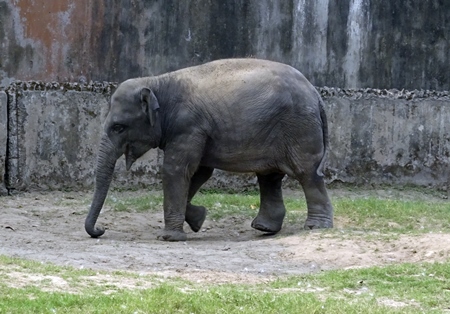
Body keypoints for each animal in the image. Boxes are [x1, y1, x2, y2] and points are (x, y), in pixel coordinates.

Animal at [84, 57, 332, 242]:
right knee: (269, 177)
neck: (157, 82)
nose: (101, 230)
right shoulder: (196, 131)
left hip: (299, 127)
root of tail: (315, 93)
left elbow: (176, 169)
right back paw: (265, 228)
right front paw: (198, 219)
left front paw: (169, 237)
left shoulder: (188, 126)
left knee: (306, 172)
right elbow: (199, 172)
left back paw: (315, 227)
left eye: (118, 127)